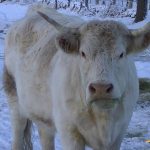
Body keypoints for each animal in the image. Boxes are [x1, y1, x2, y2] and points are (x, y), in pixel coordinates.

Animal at [2, 4, 150, 150]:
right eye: (83, 53)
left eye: (121, 54)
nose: (101, 88)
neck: (103, 118)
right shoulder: (69, 131)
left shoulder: (119, 133)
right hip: (14, 100)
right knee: (18, 133)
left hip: (43, 117)